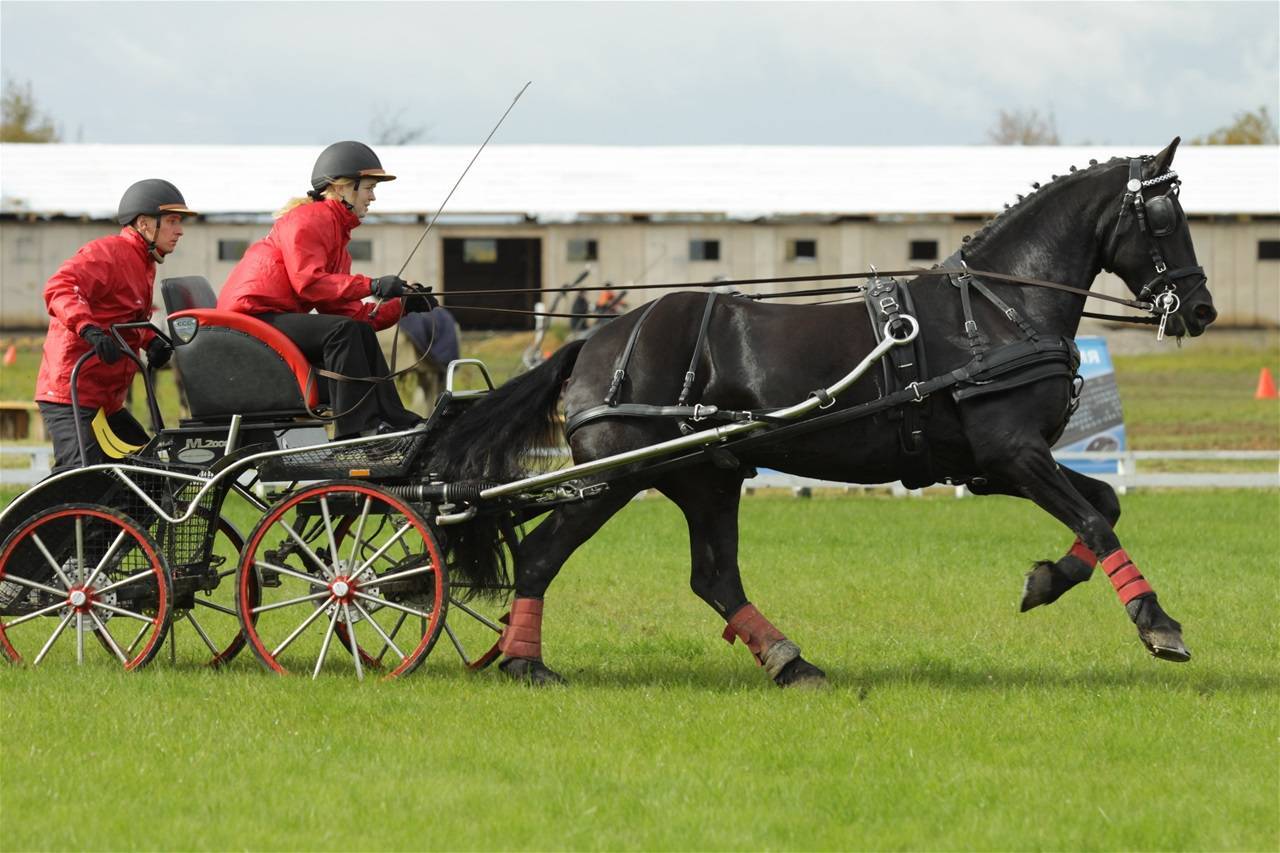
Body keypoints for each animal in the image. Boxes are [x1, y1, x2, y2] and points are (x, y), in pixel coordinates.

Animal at [432, 139, 1218, 686]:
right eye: (1161, 216)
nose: (1201, 309)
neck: (998, 308)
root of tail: (597, 339)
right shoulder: (1012, 453)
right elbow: (1095, 519)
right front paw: (1158, 623)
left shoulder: (997, 466)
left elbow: (1106, 504)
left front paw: (1047, 581)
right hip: (616, 475)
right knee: (540, 554)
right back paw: (526, 661)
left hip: (706, 476)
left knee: (714, 577)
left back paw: (789, 660)